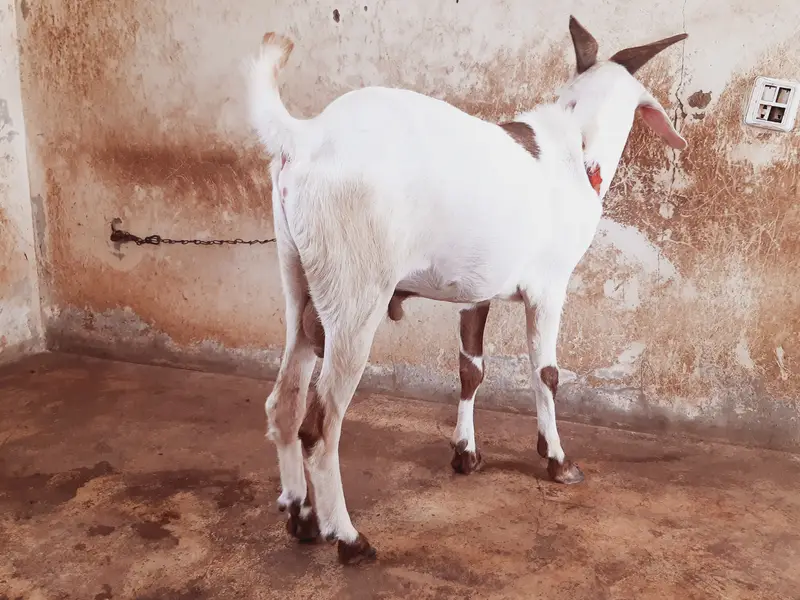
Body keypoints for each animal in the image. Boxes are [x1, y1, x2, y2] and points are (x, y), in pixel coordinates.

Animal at [248, 16, 688, 564]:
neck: (574, 145)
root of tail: (306, 136)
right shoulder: (549, 286)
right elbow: (546, 373)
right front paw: (558, 460)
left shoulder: (476, 290)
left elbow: (470, 370)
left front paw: (466, 453)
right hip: (355, 294)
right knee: (320, 428)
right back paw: (348, 537)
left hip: (299, 280)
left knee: (284, 401)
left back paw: (301, 516)